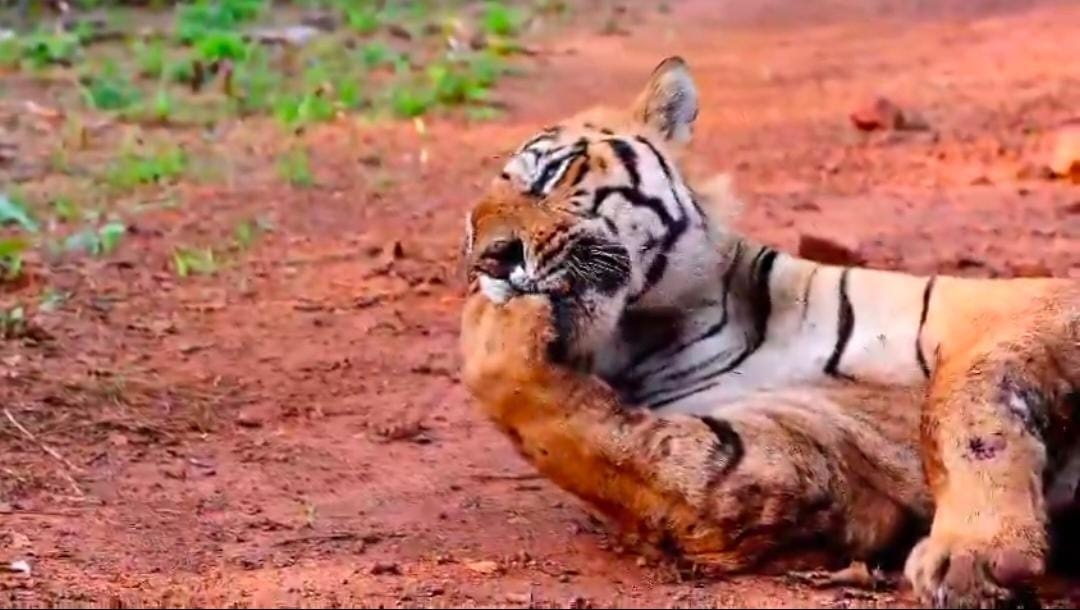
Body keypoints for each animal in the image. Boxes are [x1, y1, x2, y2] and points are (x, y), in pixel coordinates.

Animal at [458, 56, 1080, 609]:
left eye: (550, 175)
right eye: (470, 229)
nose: (490, 260)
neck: (665, 324)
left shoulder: (1016, 305)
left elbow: (961, 409)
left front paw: (974, 553)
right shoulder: (812, 466)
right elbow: (647, 462)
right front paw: (489, 329)